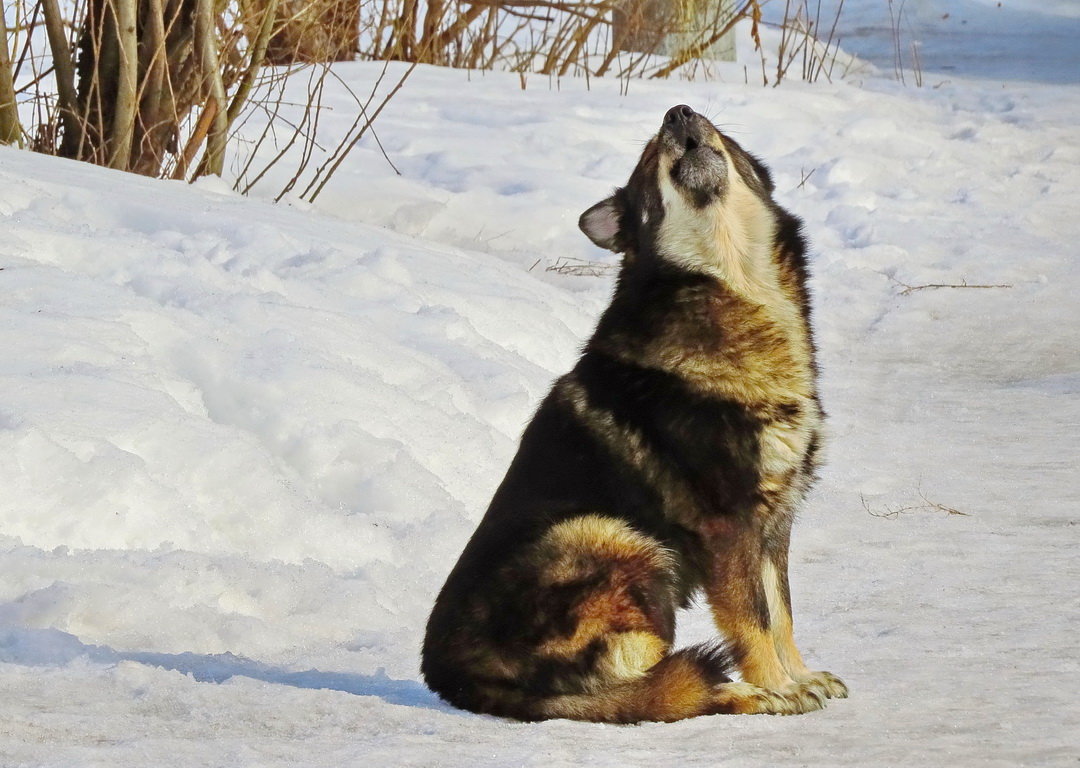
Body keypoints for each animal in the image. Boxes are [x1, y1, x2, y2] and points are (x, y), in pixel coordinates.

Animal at [419, 105, 842, 725]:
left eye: (717, 127)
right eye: (648, 159)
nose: (679, 112)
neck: (732, 279)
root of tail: (456, 681)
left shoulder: (773, 522)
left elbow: (781, 616)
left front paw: (801, 676)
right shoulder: (729, 526)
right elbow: (755, 623)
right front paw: (779, 686)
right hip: (617, 540)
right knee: (646, 688)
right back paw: (741, 694)